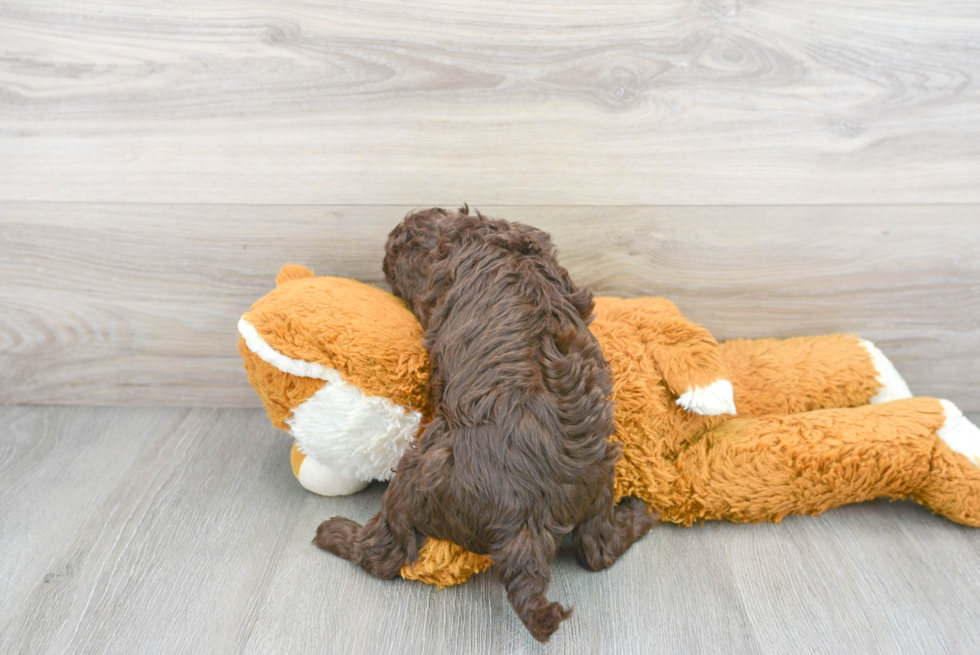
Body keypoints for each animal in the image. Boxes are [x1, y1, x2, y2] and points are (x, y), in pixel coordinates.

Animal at [314, 208, 656, 644]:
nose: (383, 268)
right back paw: (639, 512)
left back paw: (334, 532)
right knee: (599, 549)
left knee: (385, 552)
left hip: (418, 472)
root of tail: (526, 525)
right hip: (600, 482)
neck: (486, 238)